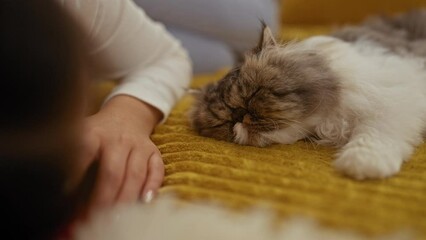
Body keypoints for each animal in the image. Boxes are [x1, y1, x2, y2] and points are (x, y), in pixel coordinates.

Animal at [190, 10, 426, 180]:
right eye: (224, 121)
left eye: (252, 95)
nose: (239, 116)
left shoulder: (396, 95)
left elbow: (373, 133)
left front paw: (361, 164)